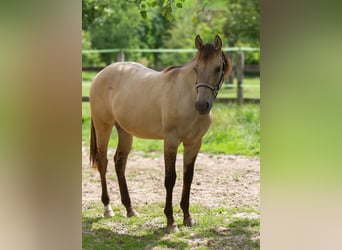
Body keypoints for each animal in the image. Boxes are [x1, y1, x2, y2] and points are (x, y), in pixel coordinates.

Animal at [89, 34, 231, 233]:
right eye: (196, 68)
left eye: (217, 68)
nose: (202, 105)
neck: (187, 96)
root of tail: (100, 74)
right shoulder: (171, 141)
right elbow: (170, 179)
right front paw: (171, 222)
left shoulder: (194, 143)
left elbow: (188, 177)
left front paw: (188, 217)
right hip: (104, 126)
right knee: (103, 162)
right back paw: (108, 208)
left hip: (124, 131)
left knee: (119, 162)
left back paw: (130, 209)